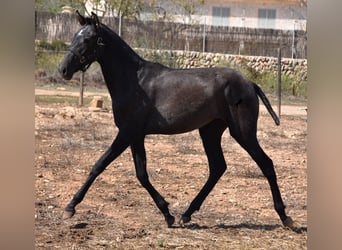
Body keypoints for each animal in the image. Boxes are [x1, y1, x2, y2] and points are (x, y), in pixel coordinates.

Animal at [58, 10, 294, 229]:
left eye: (88, 39)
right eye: (75, 36)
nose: (63, 70)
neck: (134, 80)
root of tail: (249, 84)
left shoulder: (127, 133)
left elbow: (99, 165)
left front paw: (70, 207)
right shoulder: (136, 136)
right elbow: (141, 174)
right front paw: (168, 214)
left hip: (243, 133)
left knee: (266, 164)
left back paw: (285, 217)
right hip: (210, 131)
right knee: (217, 167)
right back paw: (187, 214)